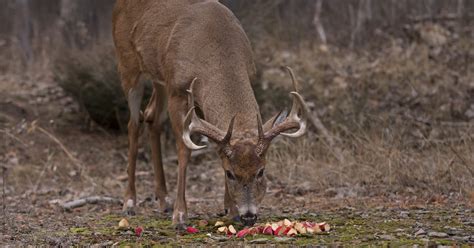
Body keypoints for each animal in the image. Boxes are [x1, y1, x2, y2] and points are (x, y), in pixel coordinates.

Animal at [113, 0, 310, 229]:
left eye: (261, 171)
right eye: (230, 174)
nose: (249, 216)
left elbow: (218, 147)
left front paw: (230, 210)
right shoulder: (177, 91)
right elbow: (184, 149)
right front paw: (180, 215)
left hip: (158, 77)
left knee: (152, 117)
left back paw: (164, 200)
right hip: (127, 64)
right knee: (133, 124)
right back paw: (130, 202)